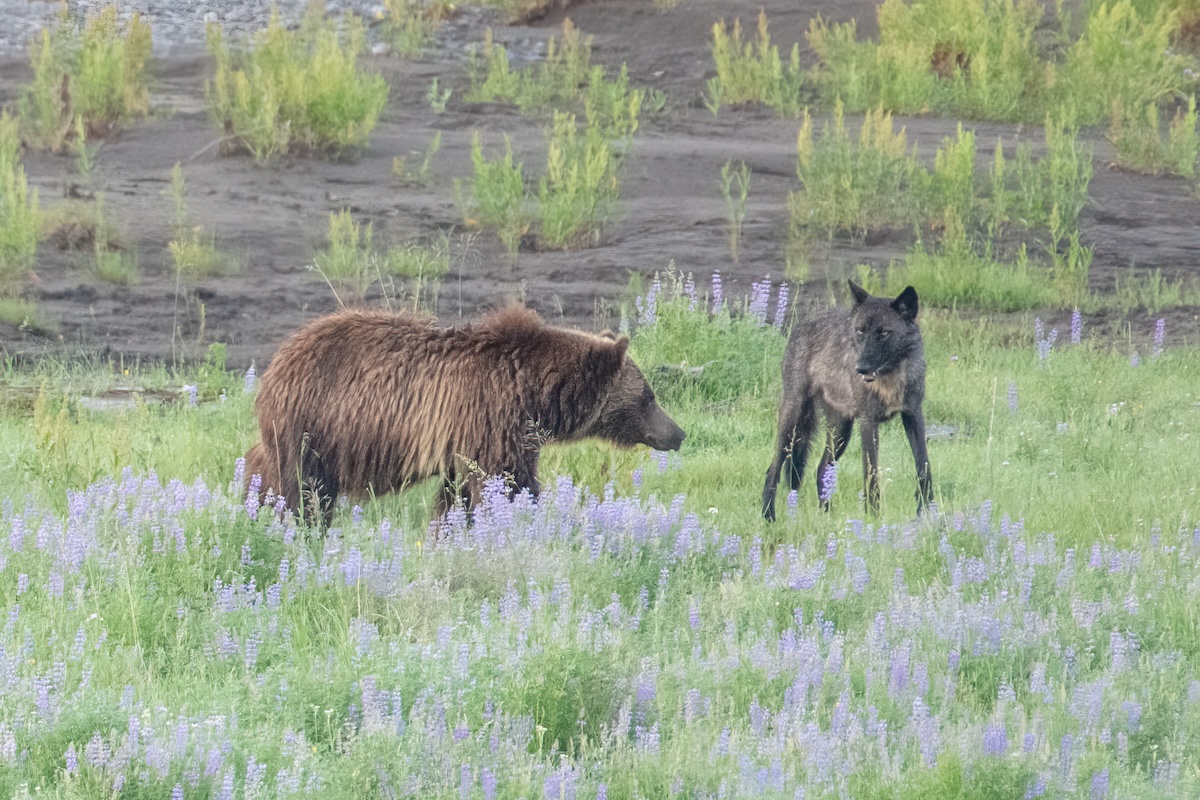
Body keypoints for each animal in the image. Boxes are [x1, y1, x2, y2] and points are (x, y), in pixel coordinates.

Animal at [243, 306, 686, 525]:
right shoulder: (493, 419)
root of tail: (277, 360)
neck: (535, 392)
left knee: (268, 468)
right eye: (648, 397)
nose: (678, 433)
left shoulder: (471, 439)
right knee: (303, 487)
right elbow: (509, 484)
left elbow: (458, 496)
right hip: (316, 424)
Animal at [762, 280, 932, 521]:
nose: (860, 368)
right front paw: (874, 519)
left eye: (884, 333)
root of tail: (803, 323)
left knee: (821, 469)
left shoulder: (913, 414)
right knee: (773, 470)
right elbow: (871, 475)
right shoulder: (868, 422)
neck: (891, 378)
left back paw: (826, 517)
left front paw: (928, 512)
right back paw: (769, 518)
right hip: (793, 420)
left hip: (840, 432)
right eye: (861, 331)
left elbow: (924, 466)